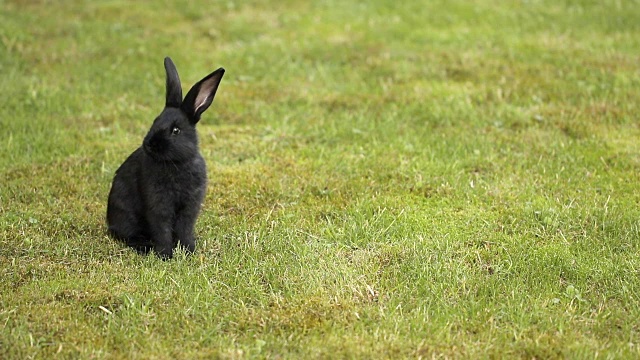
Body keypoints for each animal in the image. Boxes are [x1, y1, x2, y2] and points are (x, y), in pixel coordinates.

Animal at [106, 57, 224, 258]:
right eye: (155, 122)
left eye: (175, 130)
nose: (149, 144)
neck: (177, 163)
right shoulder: (158, 205)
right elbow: (162, 229)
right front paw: (165, 255)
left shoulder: (190, 206)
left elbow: (184, 228)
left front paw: (188, 250)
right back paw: (144, 247)